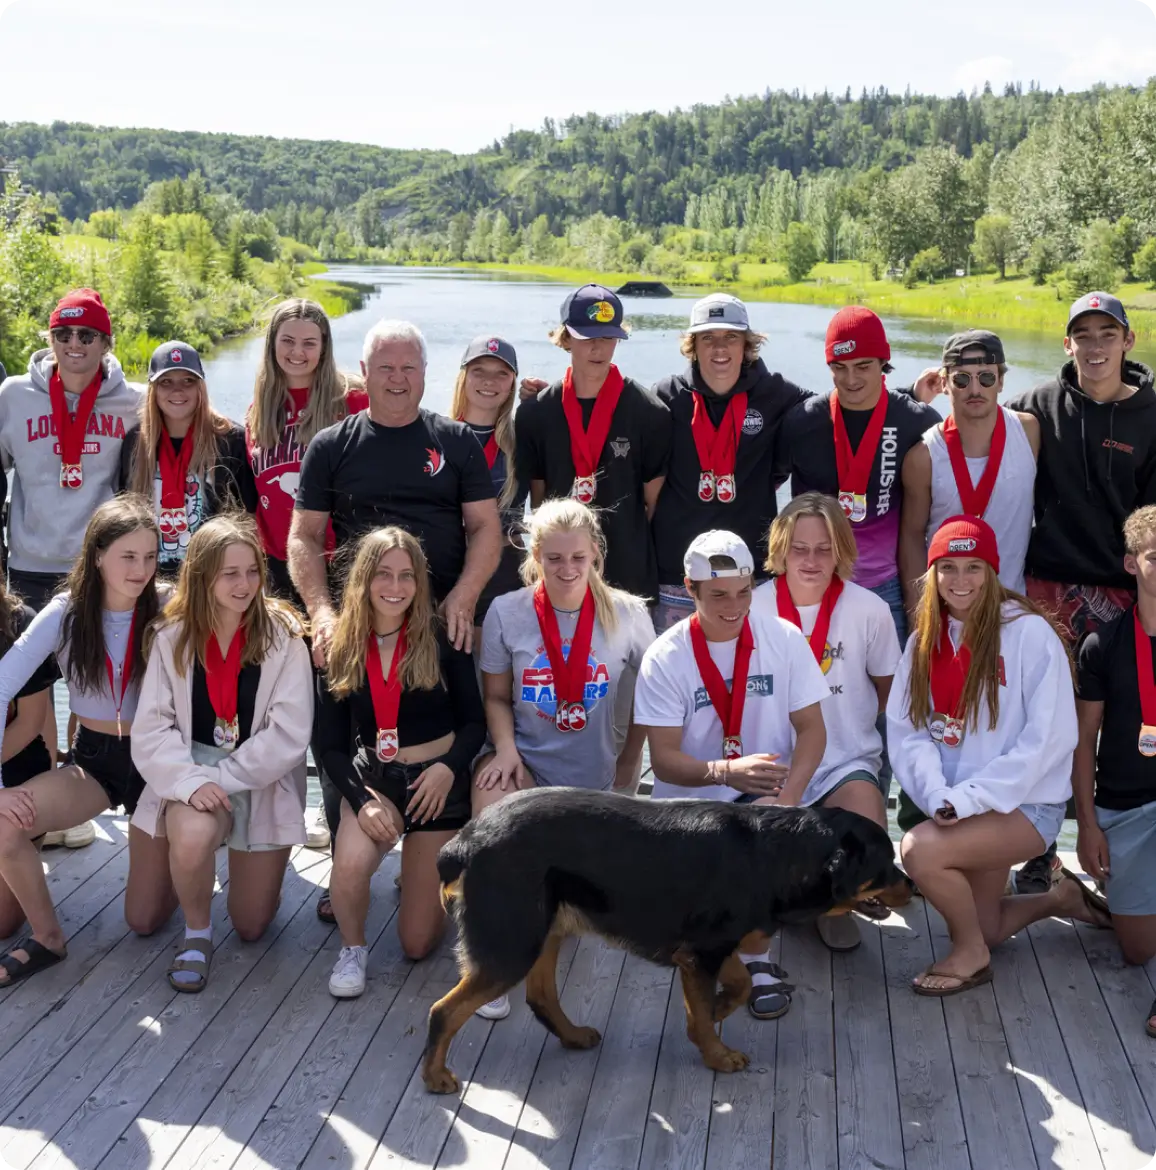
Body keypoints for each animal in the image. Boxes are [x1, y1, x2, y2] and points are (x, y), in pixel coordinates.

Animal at [418, 790, 907, 1090]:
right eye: (886, 863)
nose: (913, 887)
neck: (777, 853)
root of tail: (464, 840)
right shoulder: (703, 953)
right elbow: (709, 1012)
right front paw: (718, 1055)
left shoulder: (706, 949)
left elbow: (738, 985)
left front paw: (719, 1009)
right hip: (513, 943)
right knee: (443, 1011)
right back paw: (435, 1076)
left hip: (546, 929)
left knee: (540, 997)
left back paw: (573, 1036)